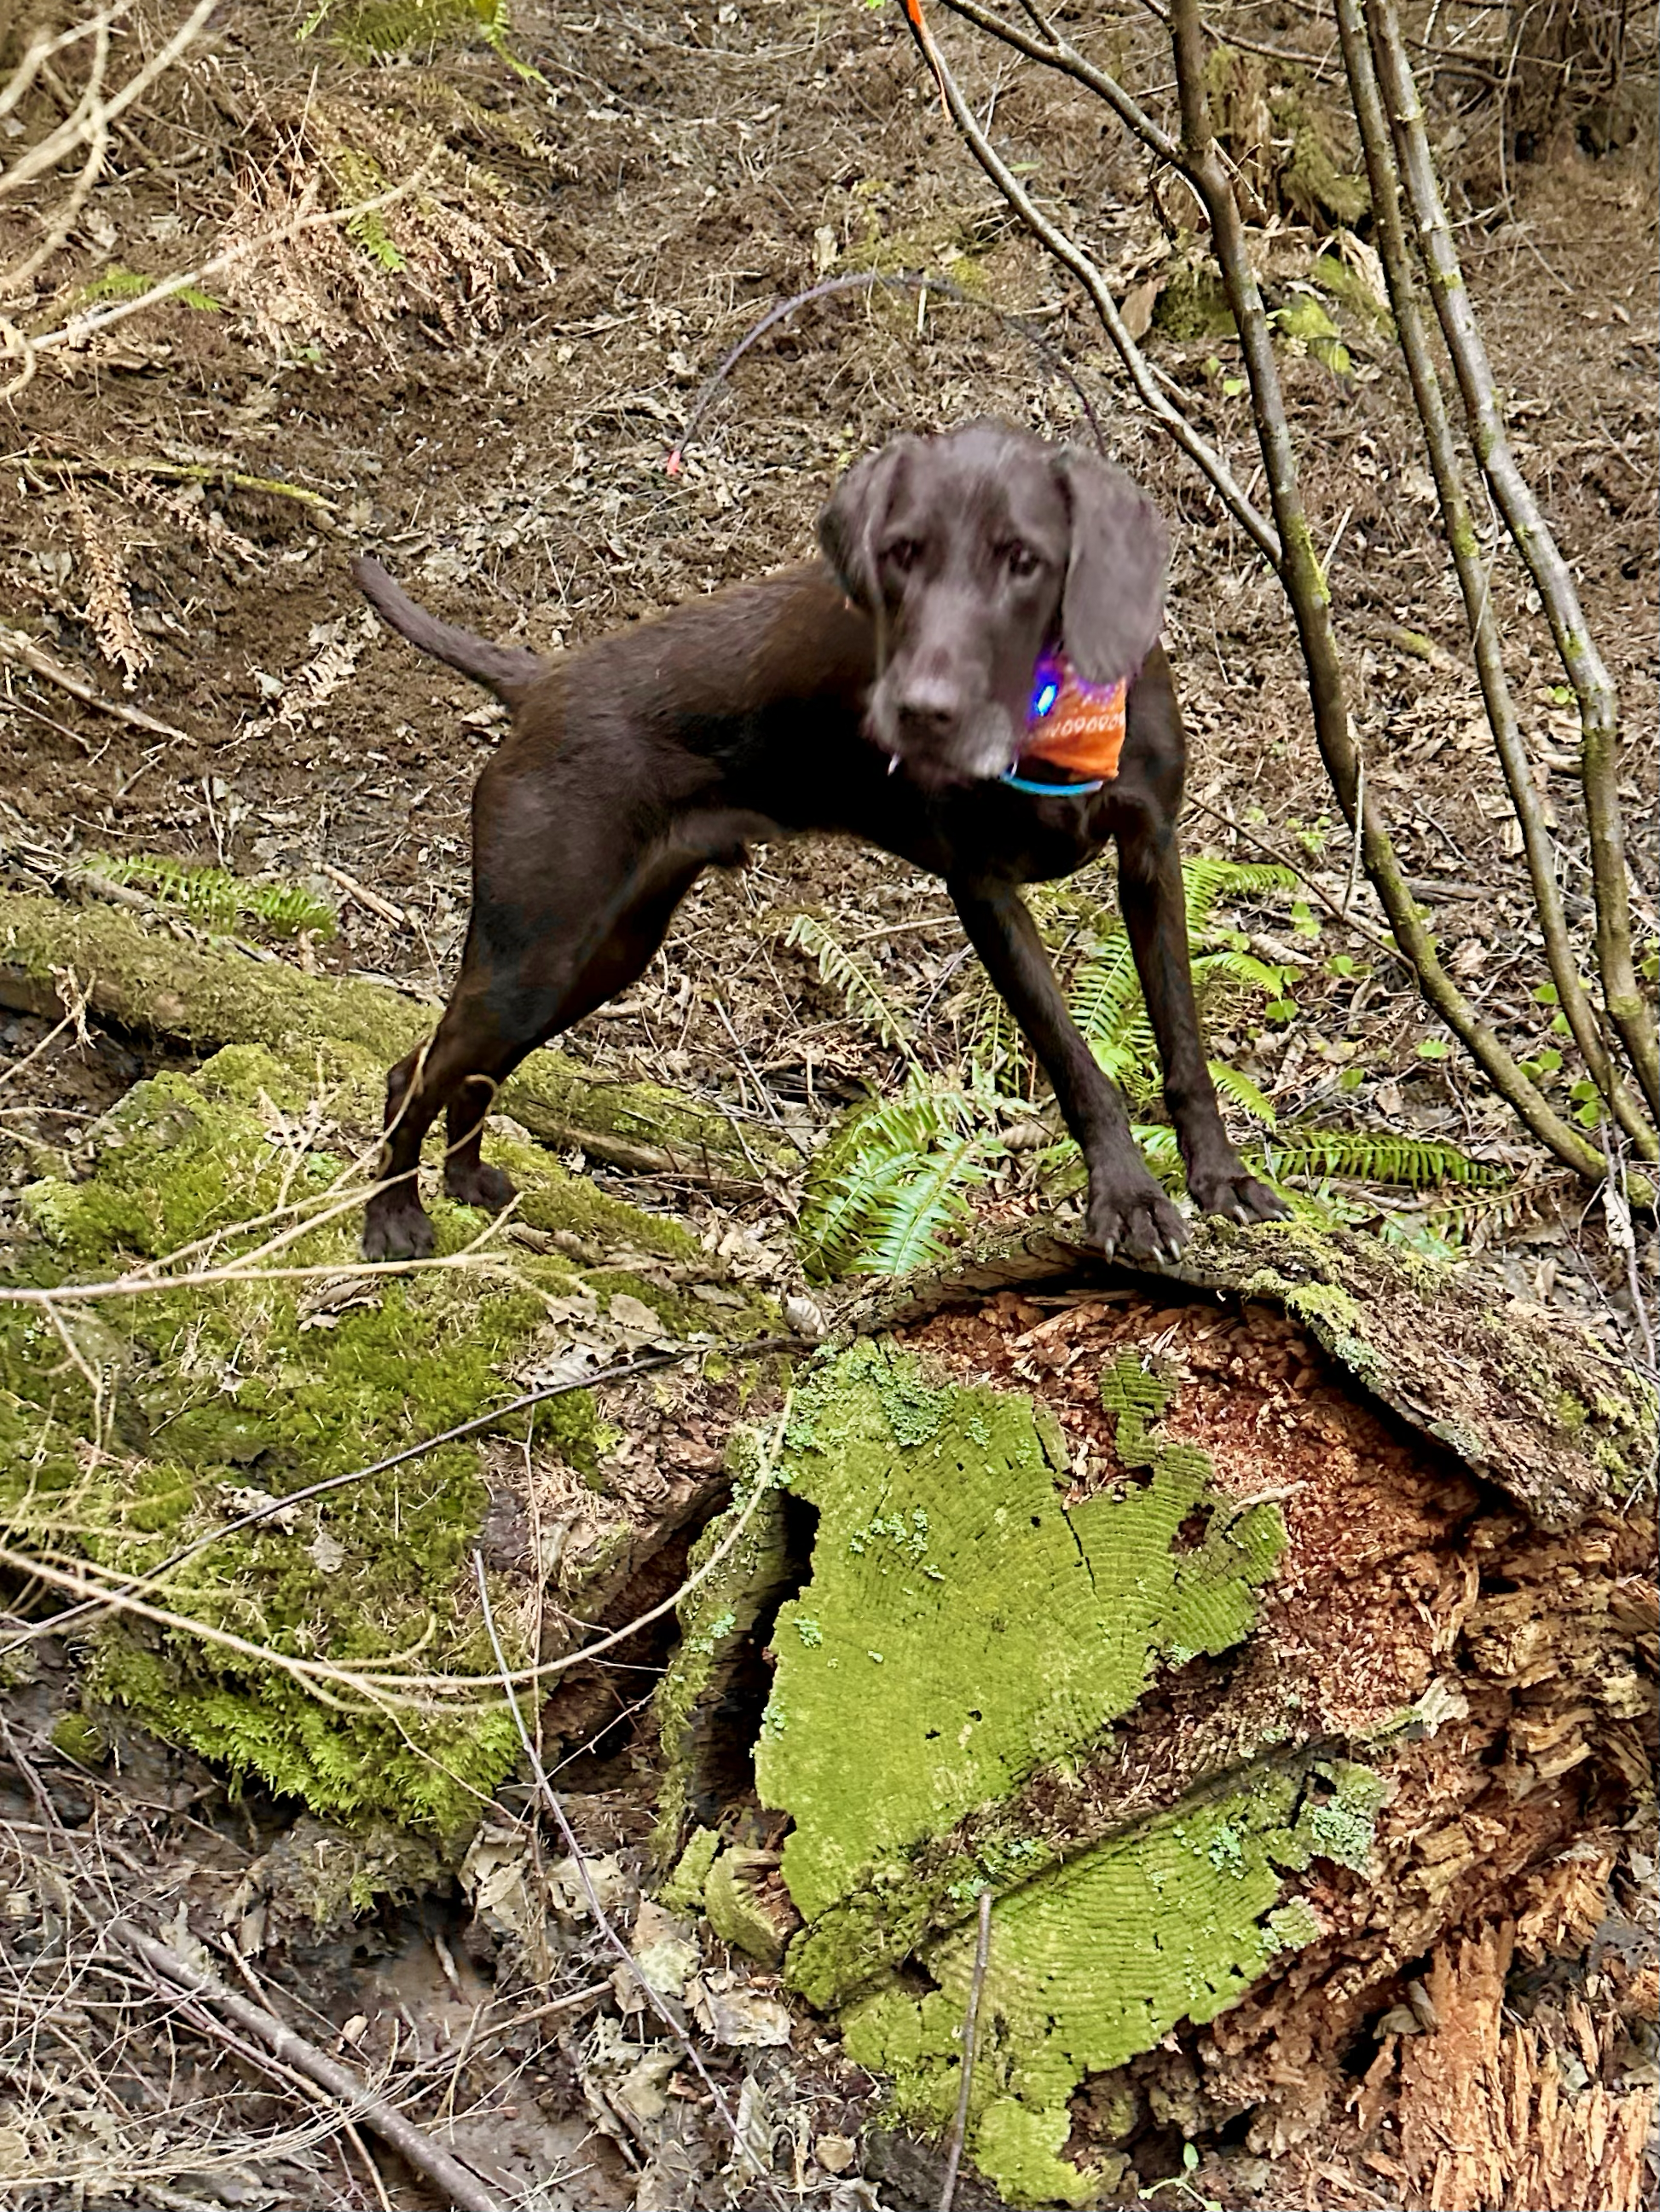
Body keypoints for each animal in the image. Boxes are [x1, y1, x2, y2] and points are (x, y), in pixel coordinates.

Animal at [351, 418, 1283, 1265]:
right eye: (901, 553)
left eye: (1024, 559)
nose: (919, 711)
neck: (1056, 722)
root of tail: (539, 680)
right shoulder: (983, 889)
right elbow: (1074, 1059)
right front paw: (1127, 1197)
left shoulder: (1151, 855)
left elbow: (1183, 1041)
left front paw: (1220, 1178)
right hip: (535, 947)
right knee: (413, 1072)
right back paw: (392, 1218)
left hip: (599, 953)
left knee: (469, 1068)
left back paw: (465, 1179)